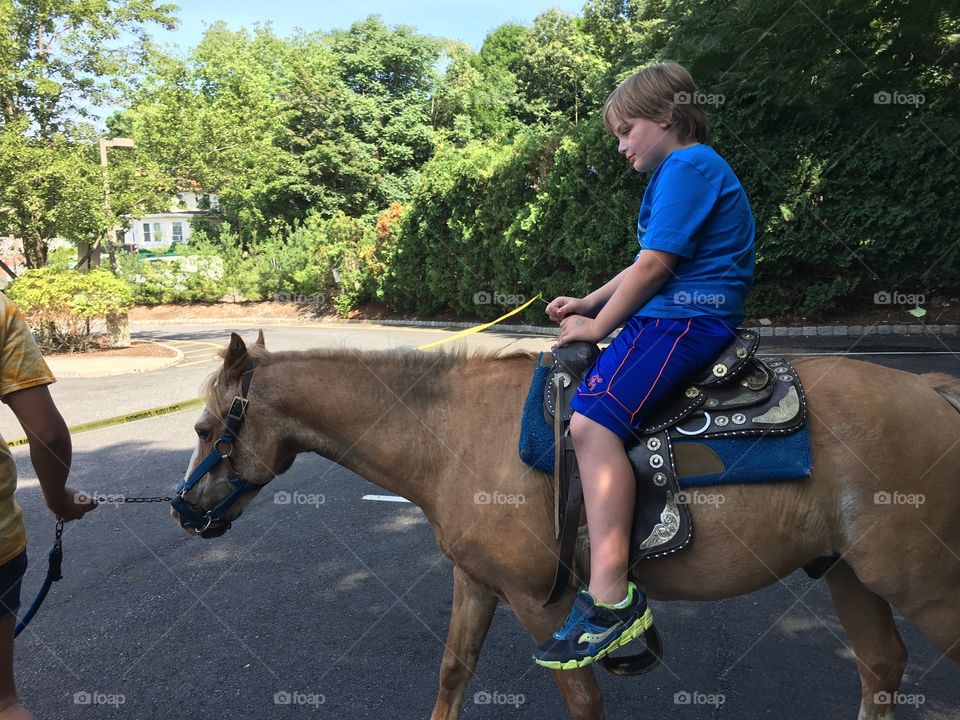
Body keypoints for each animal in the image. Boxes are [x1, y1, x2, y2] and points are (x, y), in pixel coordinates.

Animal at [174, 332, 960, 720]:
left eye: (206, 428)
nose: (182, 509)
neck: (447, 433)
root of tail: (931, 389)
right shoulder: (476, 582)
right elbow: (453, 674)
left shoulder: (539, 600)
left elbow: (582, 698)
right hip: (851, 575)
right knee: (882, 668)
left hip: (925, 587)